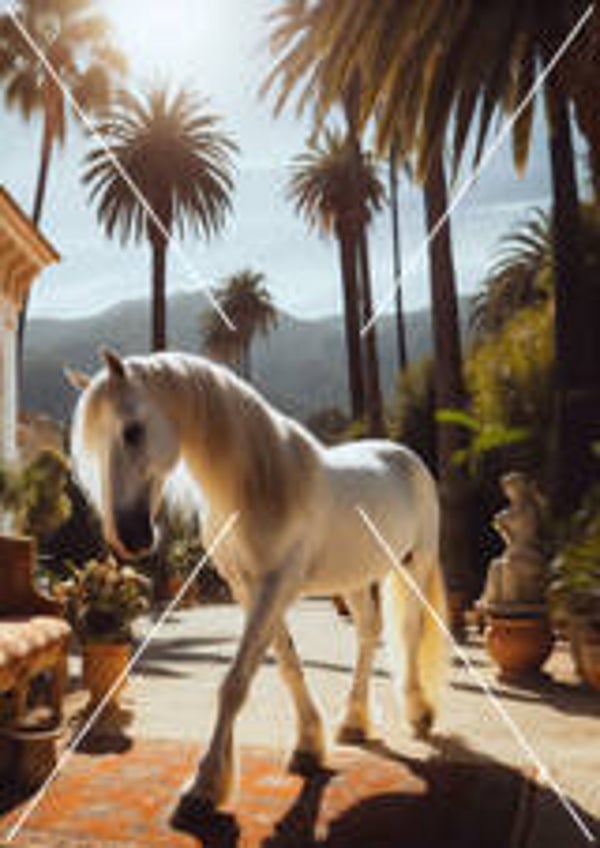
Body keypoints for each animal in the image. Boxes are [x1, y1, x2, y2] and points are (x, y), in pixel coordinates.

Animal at [68, 348, 448, 822]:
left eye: (132, 431)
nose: (129, 537)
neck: (256, 487)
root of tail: (403, 455)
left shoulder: (276, 584)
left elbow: (235, 682)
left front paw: (205, 784)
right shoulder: (249, 588)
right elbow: (285, 663)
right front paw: (308, 745)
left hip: (416, 564)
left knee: (410, 632)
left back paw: (418, 713)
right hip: (355, 578)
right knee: (368, 632)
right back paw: (354, 722)